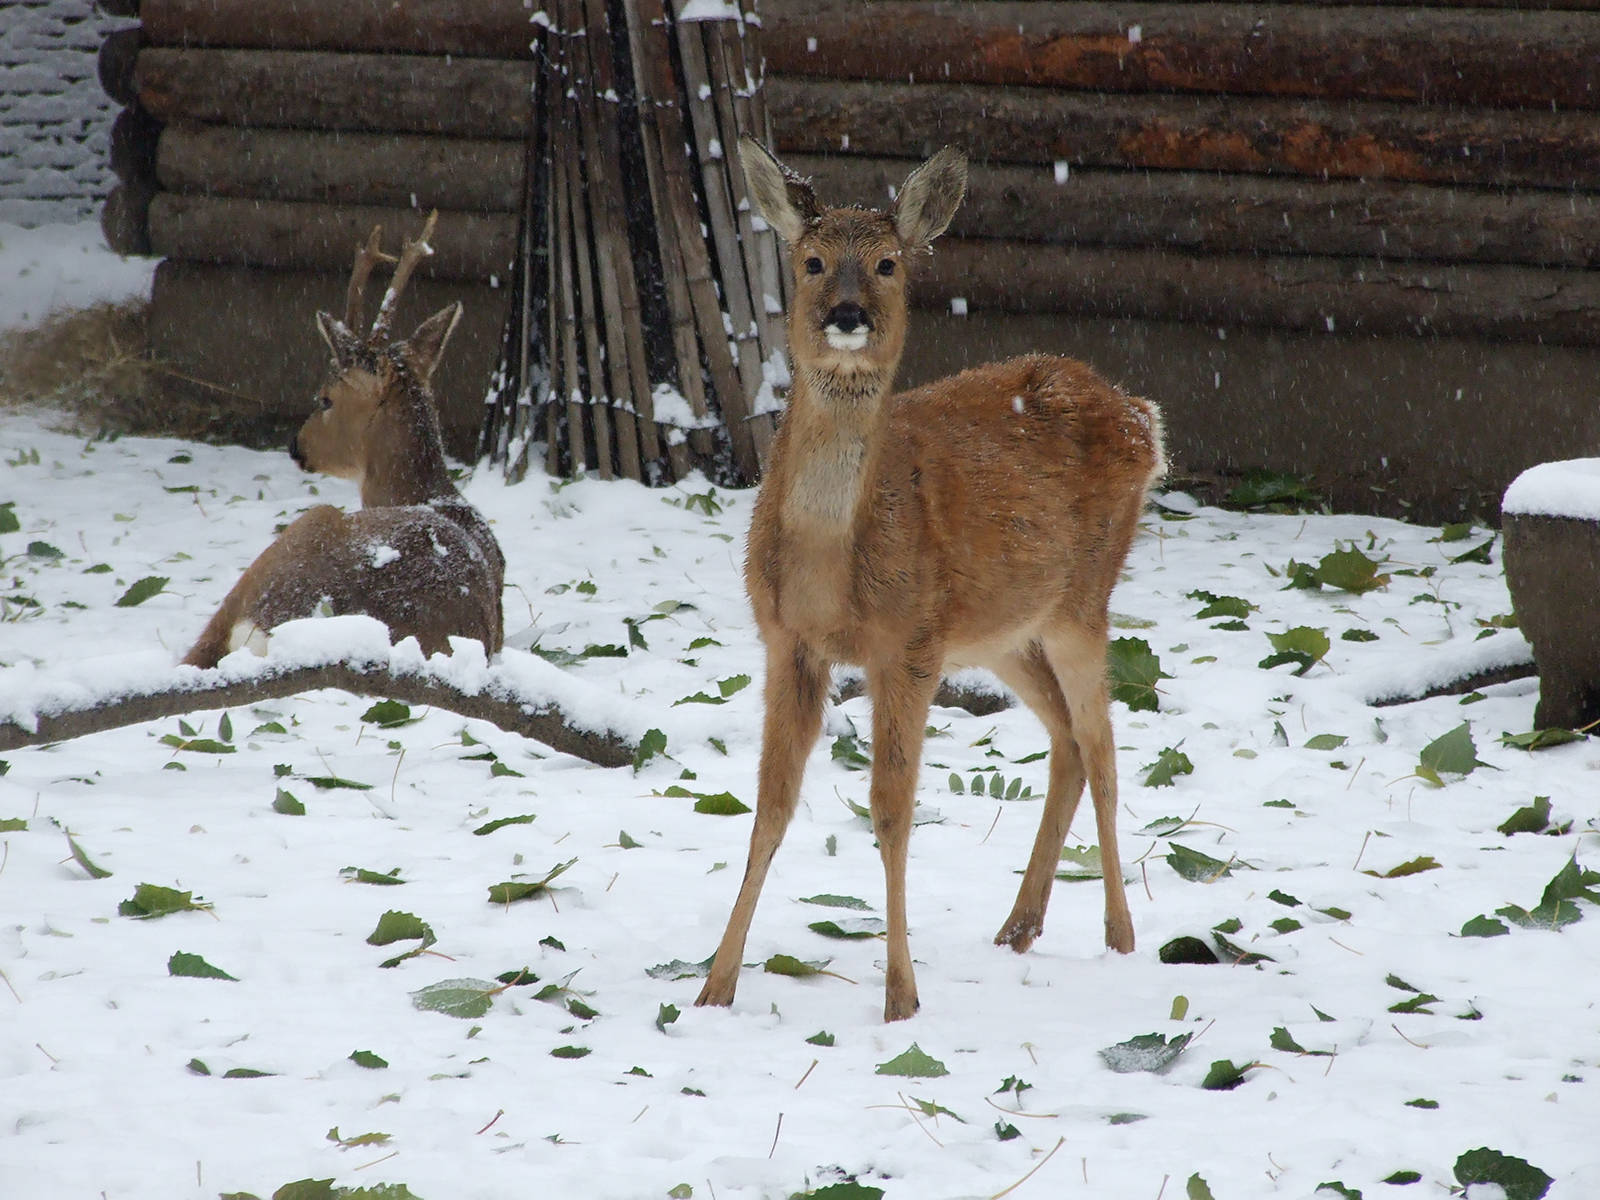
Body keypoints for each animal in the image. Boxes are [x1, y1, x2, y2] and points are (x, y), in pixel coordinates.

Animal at [694, 139, 1166, 1022]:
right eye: (810, 262)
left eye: (887, 263)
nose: (848, 314)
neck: (828, 568)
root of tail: (1141, 417)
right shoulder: (788, 643)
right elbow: (770, 807)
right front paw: (713, 987)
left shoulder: (907, 644)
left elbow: (891, 811)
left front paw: (901, 998)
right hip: (1002, 629)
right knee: (1066, 740)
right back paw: (1019, 925)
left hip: (1083, 598)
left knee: (1103, 745)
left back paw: (1121, 936)